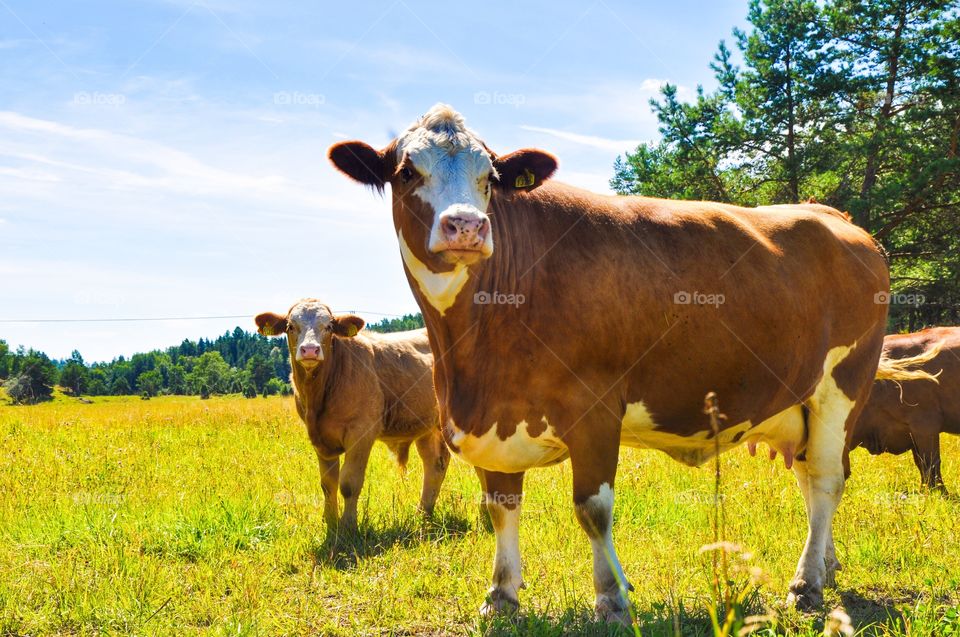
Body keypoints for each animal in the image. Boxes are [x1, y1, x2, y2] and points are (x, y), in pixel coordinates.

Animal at [255, 300, 450, 528]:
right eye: (290, 326)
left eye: (329, 326)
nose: (310, 350)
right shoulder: (320, 439)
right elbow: (328, 483)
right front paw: (331, 522)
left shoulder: (361, 433)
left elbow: (349, 483)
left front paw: (348, 525)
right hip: (426, 427)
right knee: (435, 463)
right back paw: (423, 514)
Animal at [326, 105, 932, 620]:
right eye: (407, 171)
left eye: (490, 177)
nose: (467, 227)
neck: (474, 352)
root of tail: (831, 214)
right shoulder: (484, 420)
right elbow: (500, 507)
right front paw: (501, 595)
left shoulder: (595, 408)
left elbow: (592, 508)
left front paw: (612, 599)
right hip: (802, 399)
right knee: (812, 476)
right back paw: (826, 565)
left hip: (841, 384)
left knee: (826, 479)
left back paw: (806, 583)